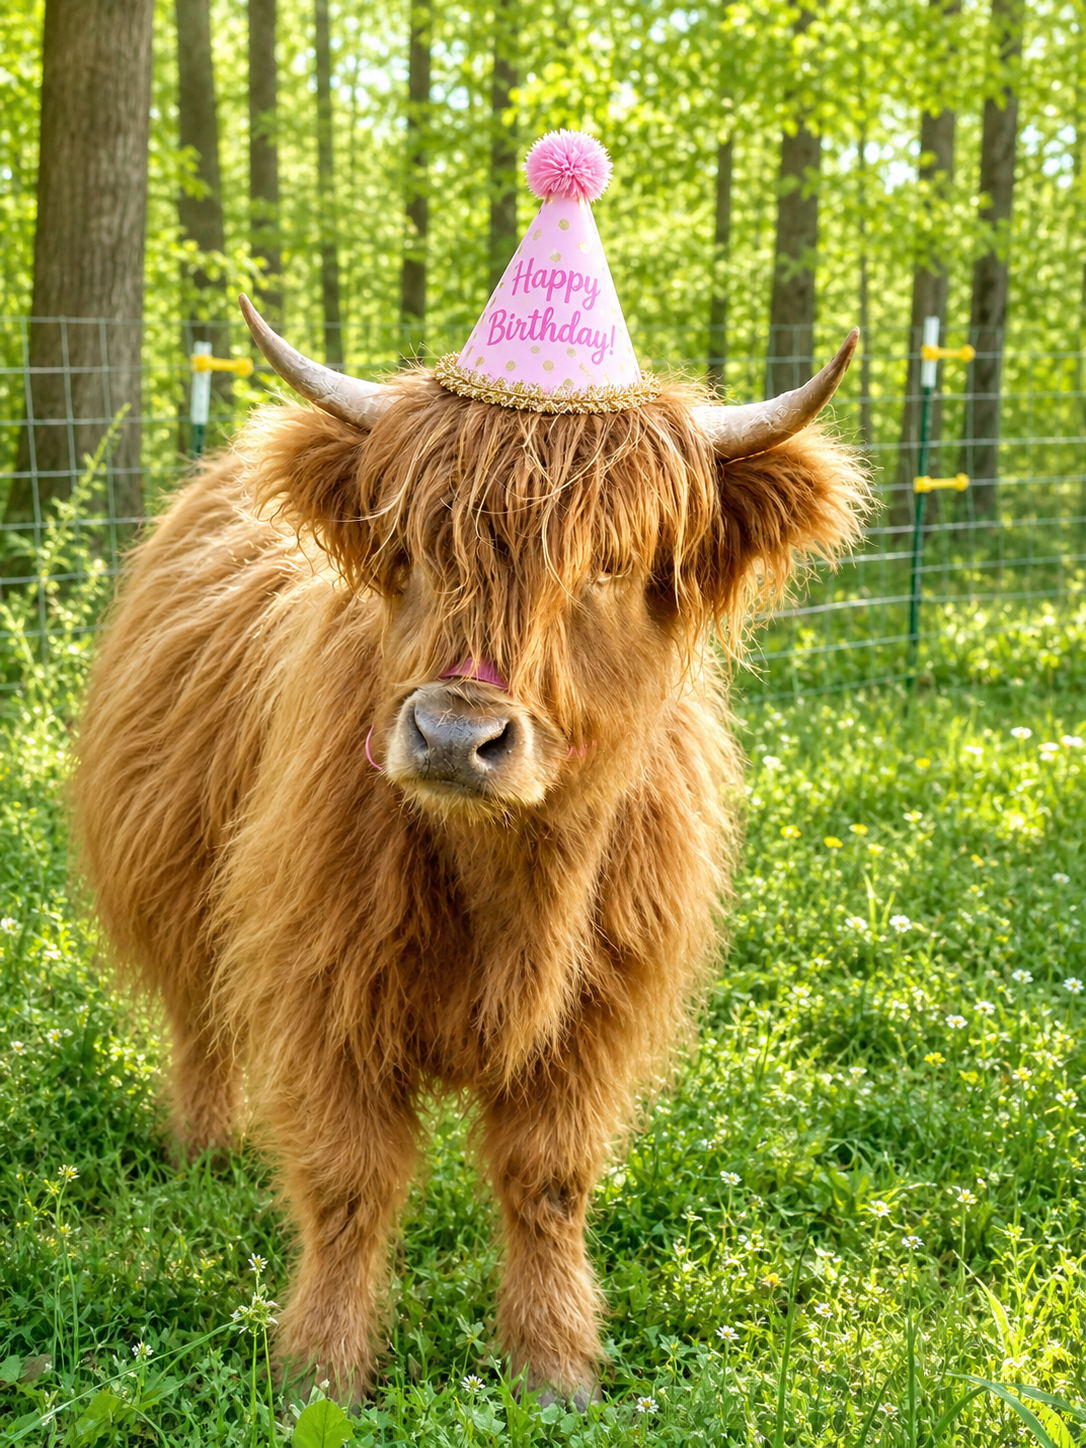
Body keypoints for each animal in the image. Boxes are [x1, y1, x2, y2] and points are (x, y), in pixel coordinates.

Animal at [71, 296, 867, 1407]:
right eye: (411, 547)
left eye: (610, 565)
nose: (454, 734)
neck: (509, 885)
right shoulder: (323, 990)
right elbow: (349, 1182)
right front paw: (319, 1370)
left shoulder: (592, 1019)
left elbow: (547, 1179)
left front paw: (554, 1364)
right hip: (178, 879)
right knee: (201, 1022)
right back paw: (202, 1153)